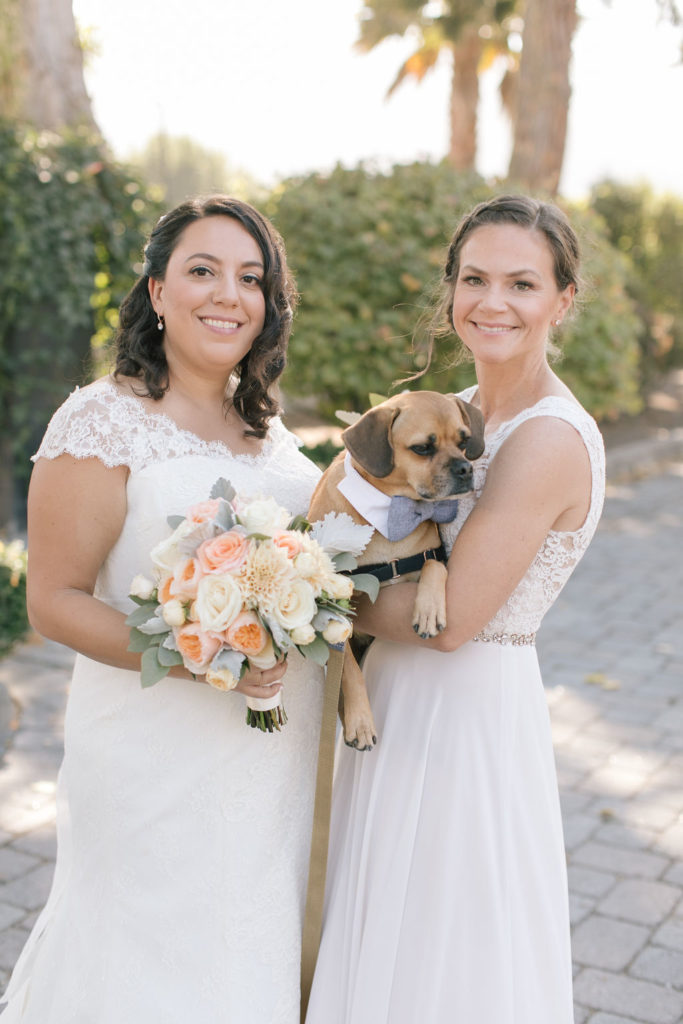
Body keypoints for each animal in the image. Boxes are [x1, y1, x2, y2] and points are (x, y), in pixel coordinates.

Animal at [309, 391, 485, 753]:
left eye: (464, 441)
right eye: (422, 448)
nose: (465, 468)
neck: (394, 509)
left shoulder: (430, 557)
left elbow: (433, 565)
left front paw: (429, 610)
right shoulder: (333, 609)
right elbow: (349, 670)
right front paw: (361, 721)